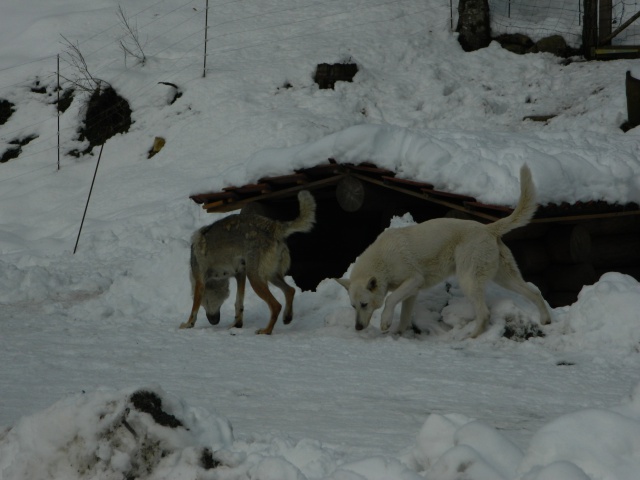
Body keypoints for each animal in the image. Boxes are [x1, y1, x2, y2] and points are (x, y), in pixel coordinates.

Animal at [180, 190, 316, 334]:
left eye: (205, 302)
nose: (214, 322)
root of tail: (274, 226)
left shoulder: (200, 282)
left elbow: (193, 310)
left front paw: (188, 324)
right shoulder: (240, 274)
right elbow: (238, 304)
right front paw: (237, 324)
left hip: (255, 279)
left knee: (276, 305)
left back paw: (266, 331)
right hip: (270, 276)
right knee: (290, 290)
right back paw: (287, 318)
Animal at [336, 165, 552, 338]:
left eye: (364, 304)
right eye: (353, 306)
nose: (357, 328)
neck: (383, 262)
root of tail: (488, 228)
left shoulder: (414, 279)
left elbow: (389, 299)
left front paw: (385, 323)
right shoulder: (411, 292)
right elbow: (404, 316)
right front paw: (397, 334)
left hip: (468, 280)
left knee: (484, 314)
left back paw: (470, 338)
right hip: (504, 278)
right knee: (534, 293)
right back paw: (545, 320)